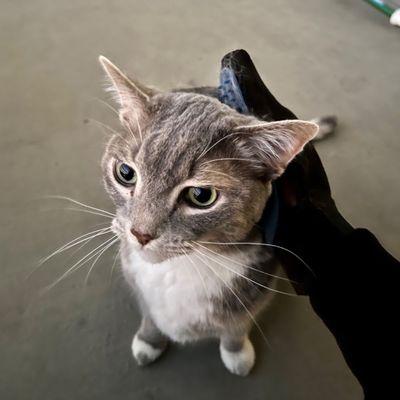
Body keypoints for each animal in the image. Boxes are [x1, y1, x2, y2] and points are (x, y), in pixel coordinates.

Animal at [97, 55, 318, 376]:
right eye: (125, 173)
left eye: (201, 196)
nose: (140, 233)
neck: (184, 266)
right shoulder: (135, 278)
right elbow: (149, 312)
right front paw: (149, 340)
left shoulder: (258, 285)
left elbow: (238, 324)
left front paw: (236, 353)